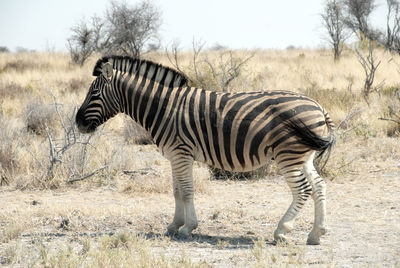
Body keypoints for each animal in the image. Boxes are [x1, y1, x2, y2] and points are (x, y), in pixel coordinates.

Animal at [75, 55, 334, 245]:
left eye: (94, 93)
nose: (77, 123)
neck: (163, 107)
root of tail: (317, 105)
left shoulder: (181, 153)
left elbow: (187, 191)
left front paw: (188, 228)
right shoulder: (174, 155)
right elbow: (176, 191)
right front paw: (174, 225)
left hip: (288, 155)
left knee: (302, 190)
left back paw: (281, 231)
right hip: (304, 156)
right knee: (319, 186)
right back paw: (316, 233)